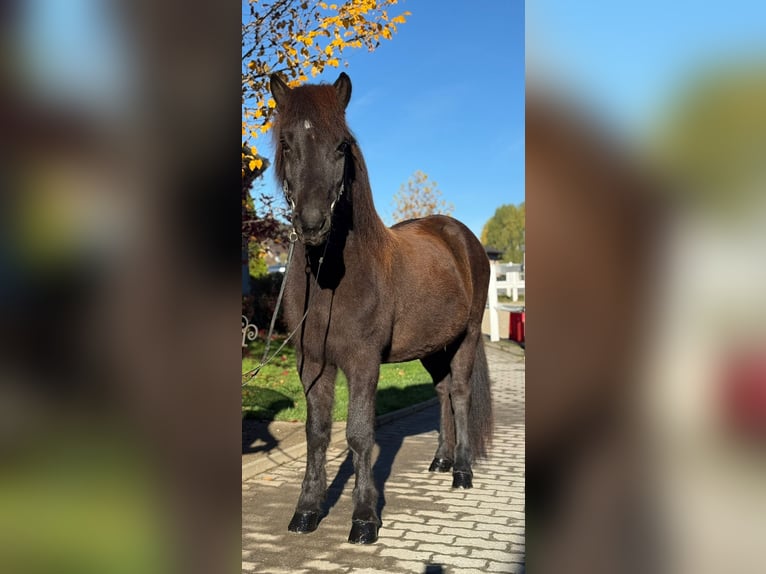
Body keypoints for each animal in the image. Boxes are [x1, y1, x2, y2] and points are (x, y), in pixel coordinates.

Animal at [269, 72, 493, 544]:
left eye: (341, 145)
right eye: (287, 144)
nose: (312, 224)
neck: (332, 277)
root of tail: (461, 236)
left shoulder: (363, 361)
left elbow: (358, 435)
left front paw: (364, 519)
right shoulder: (311, 361)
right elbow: (318, 434)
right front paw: (306, 511)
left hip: (465, 338)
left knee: (461, 394)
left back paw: (462, 471)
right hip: (433, 347)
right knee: (443, 391)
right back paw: (441, 460)